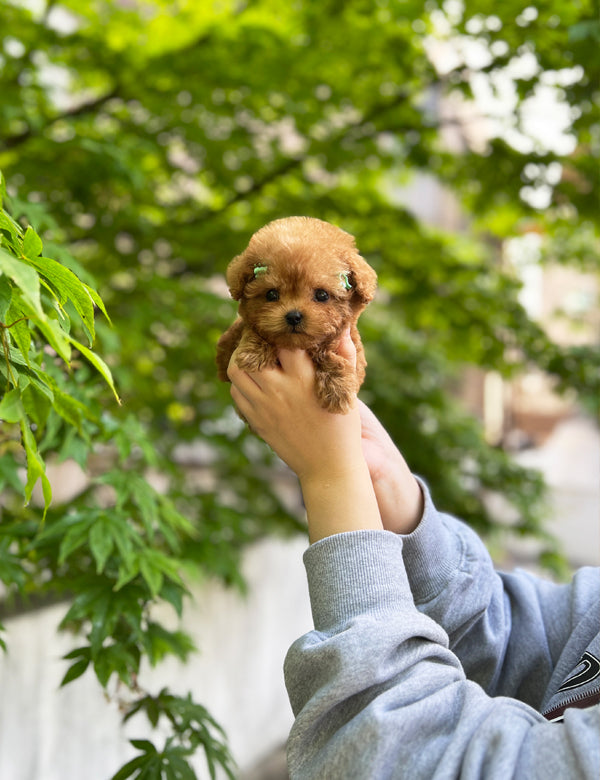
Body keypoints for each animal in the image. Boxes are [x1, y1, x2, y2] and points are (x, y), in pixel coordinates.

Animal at [216, 216, 376, 414]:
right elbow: (250, 330)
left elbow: (331, 352)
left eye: (322, 295)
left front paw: (338, 388)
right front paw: (254, 353)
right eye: (271, 294)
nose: (293, 316)